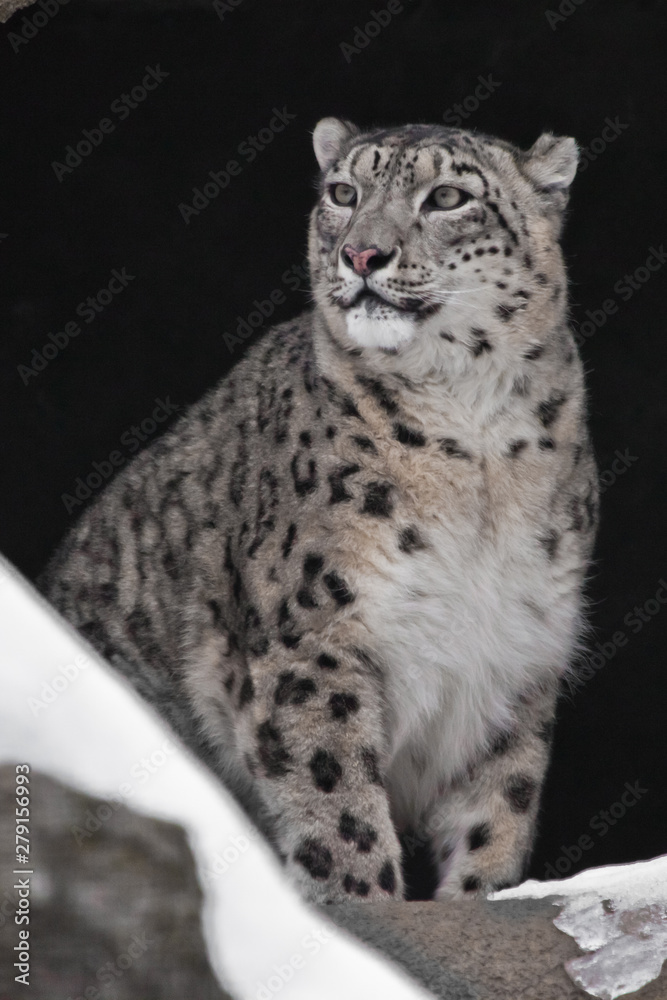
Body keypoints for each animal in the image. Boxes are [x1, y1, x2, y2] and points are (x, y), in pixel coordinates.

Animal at [39, 117, 599, 904]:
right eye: (343, 192)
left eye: (447, 197)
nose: (361, 252)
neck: (475, 441)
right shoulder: (311, 631)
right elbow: (336, 797)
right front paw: (359, 906)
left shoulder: (518, 656)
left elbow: (499, 809)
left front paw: (477, 897)